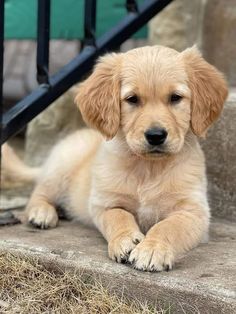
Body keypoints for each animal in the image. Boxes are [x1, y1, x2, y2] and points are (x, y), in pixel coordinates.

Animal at [2, 45, 229, 272]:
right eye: (132, 99)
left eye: (175, 98)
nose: (156, 135)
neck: (148, 168)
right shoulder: (105, 203)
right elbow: (119, 217)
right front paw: (126, 240)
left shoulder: (193, 211)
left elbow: (168, 226)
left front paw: (152, 249)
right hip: (62, 166)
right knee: (38, 194)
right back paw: (42, 213)